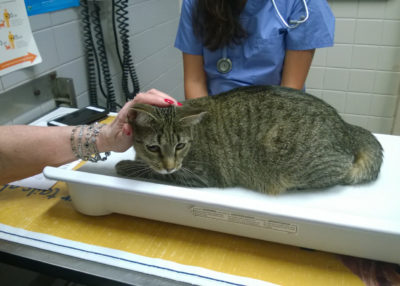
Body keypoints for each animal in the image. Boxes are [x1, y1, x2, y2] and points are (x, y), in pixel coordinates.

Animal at [115, 85, 384, 194]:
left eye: (180, 145)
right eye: (153, 147)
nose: (170, 165)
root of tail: (345, 126)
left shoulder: (199, 177)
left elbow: (154, 173)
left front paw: (127, 165)